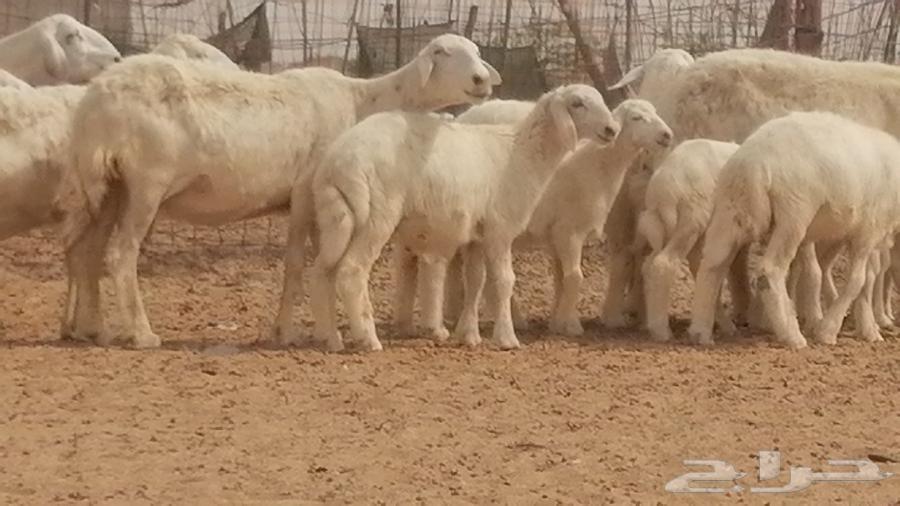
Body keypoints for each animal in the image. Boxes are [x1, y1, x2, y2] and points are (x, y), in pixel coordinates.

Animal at [60, 34, 501, 349]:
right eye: (442, 52)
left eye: (477, 51)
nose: (482, 80)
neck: (363, 100)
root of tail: (97, 99)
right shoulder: (308, 194)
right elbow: (298, 265)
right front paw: (303, 332)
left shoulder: (312, 203)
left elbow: (308, 263)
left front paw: (302, 329)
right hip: (147, 183)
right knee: (121, 255)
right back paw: (141, 334)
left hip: (109, 187)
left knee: (87, 252)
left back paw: (92, 329)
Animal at [307, 84, 620, 352]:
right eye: (577, 103)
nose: (611, 129)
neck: (519, 153)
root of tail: (338, 163)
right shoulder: (499, 229)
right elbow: (503, 281)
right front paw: (507, 338)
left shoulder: (476, 237)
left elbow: (475, 281)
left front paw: (469, 335)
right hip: (377, 215)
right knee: (352, 271)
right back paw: (368, 339)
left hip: (336, 218)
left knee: (323, 271)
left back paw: (332, 339)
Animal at [638, 139, 741, 342]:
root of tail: (661, 193)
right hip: (691, 220)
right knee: (665, 264)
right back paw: (662, 331)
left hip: (662, 227)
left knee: (650, 265)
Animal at [689, 111, 900, 350]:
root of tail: (752, 164)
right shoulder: (868, 231)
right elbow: (858, 280)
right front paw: (828, 331)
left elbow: (866, 280)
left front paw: (868, 328)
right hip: (794, 214)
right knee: (770, 270)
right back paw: (792, 335)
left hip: (731, 210)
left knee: (712, 264)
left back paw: (700, 331)